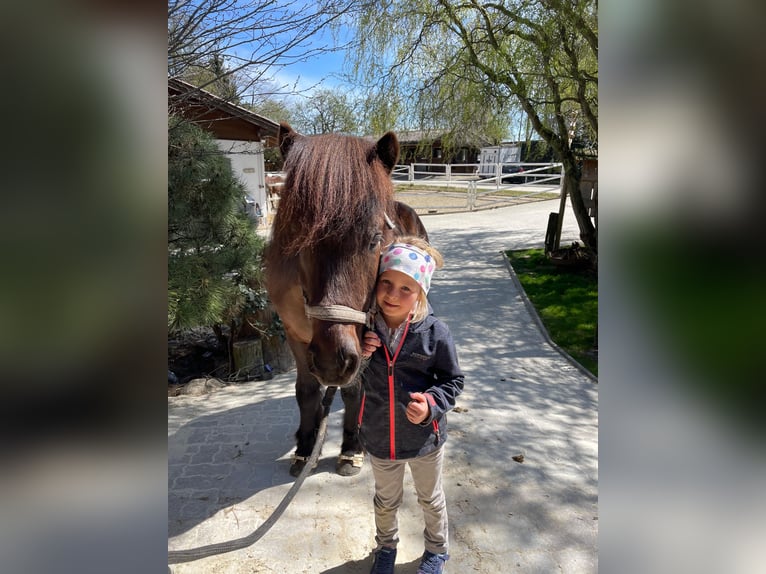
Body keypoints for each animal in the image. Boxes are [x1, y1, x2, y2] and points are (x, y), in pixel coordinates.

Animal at [265, 122, 428, 477]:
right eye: (299, 241)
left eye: (375, 240)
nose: (332, 361)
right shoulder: (294, 334)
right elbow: (307, 391)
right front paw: (305, 447)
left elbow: (355, 391)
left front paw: (351, 448)